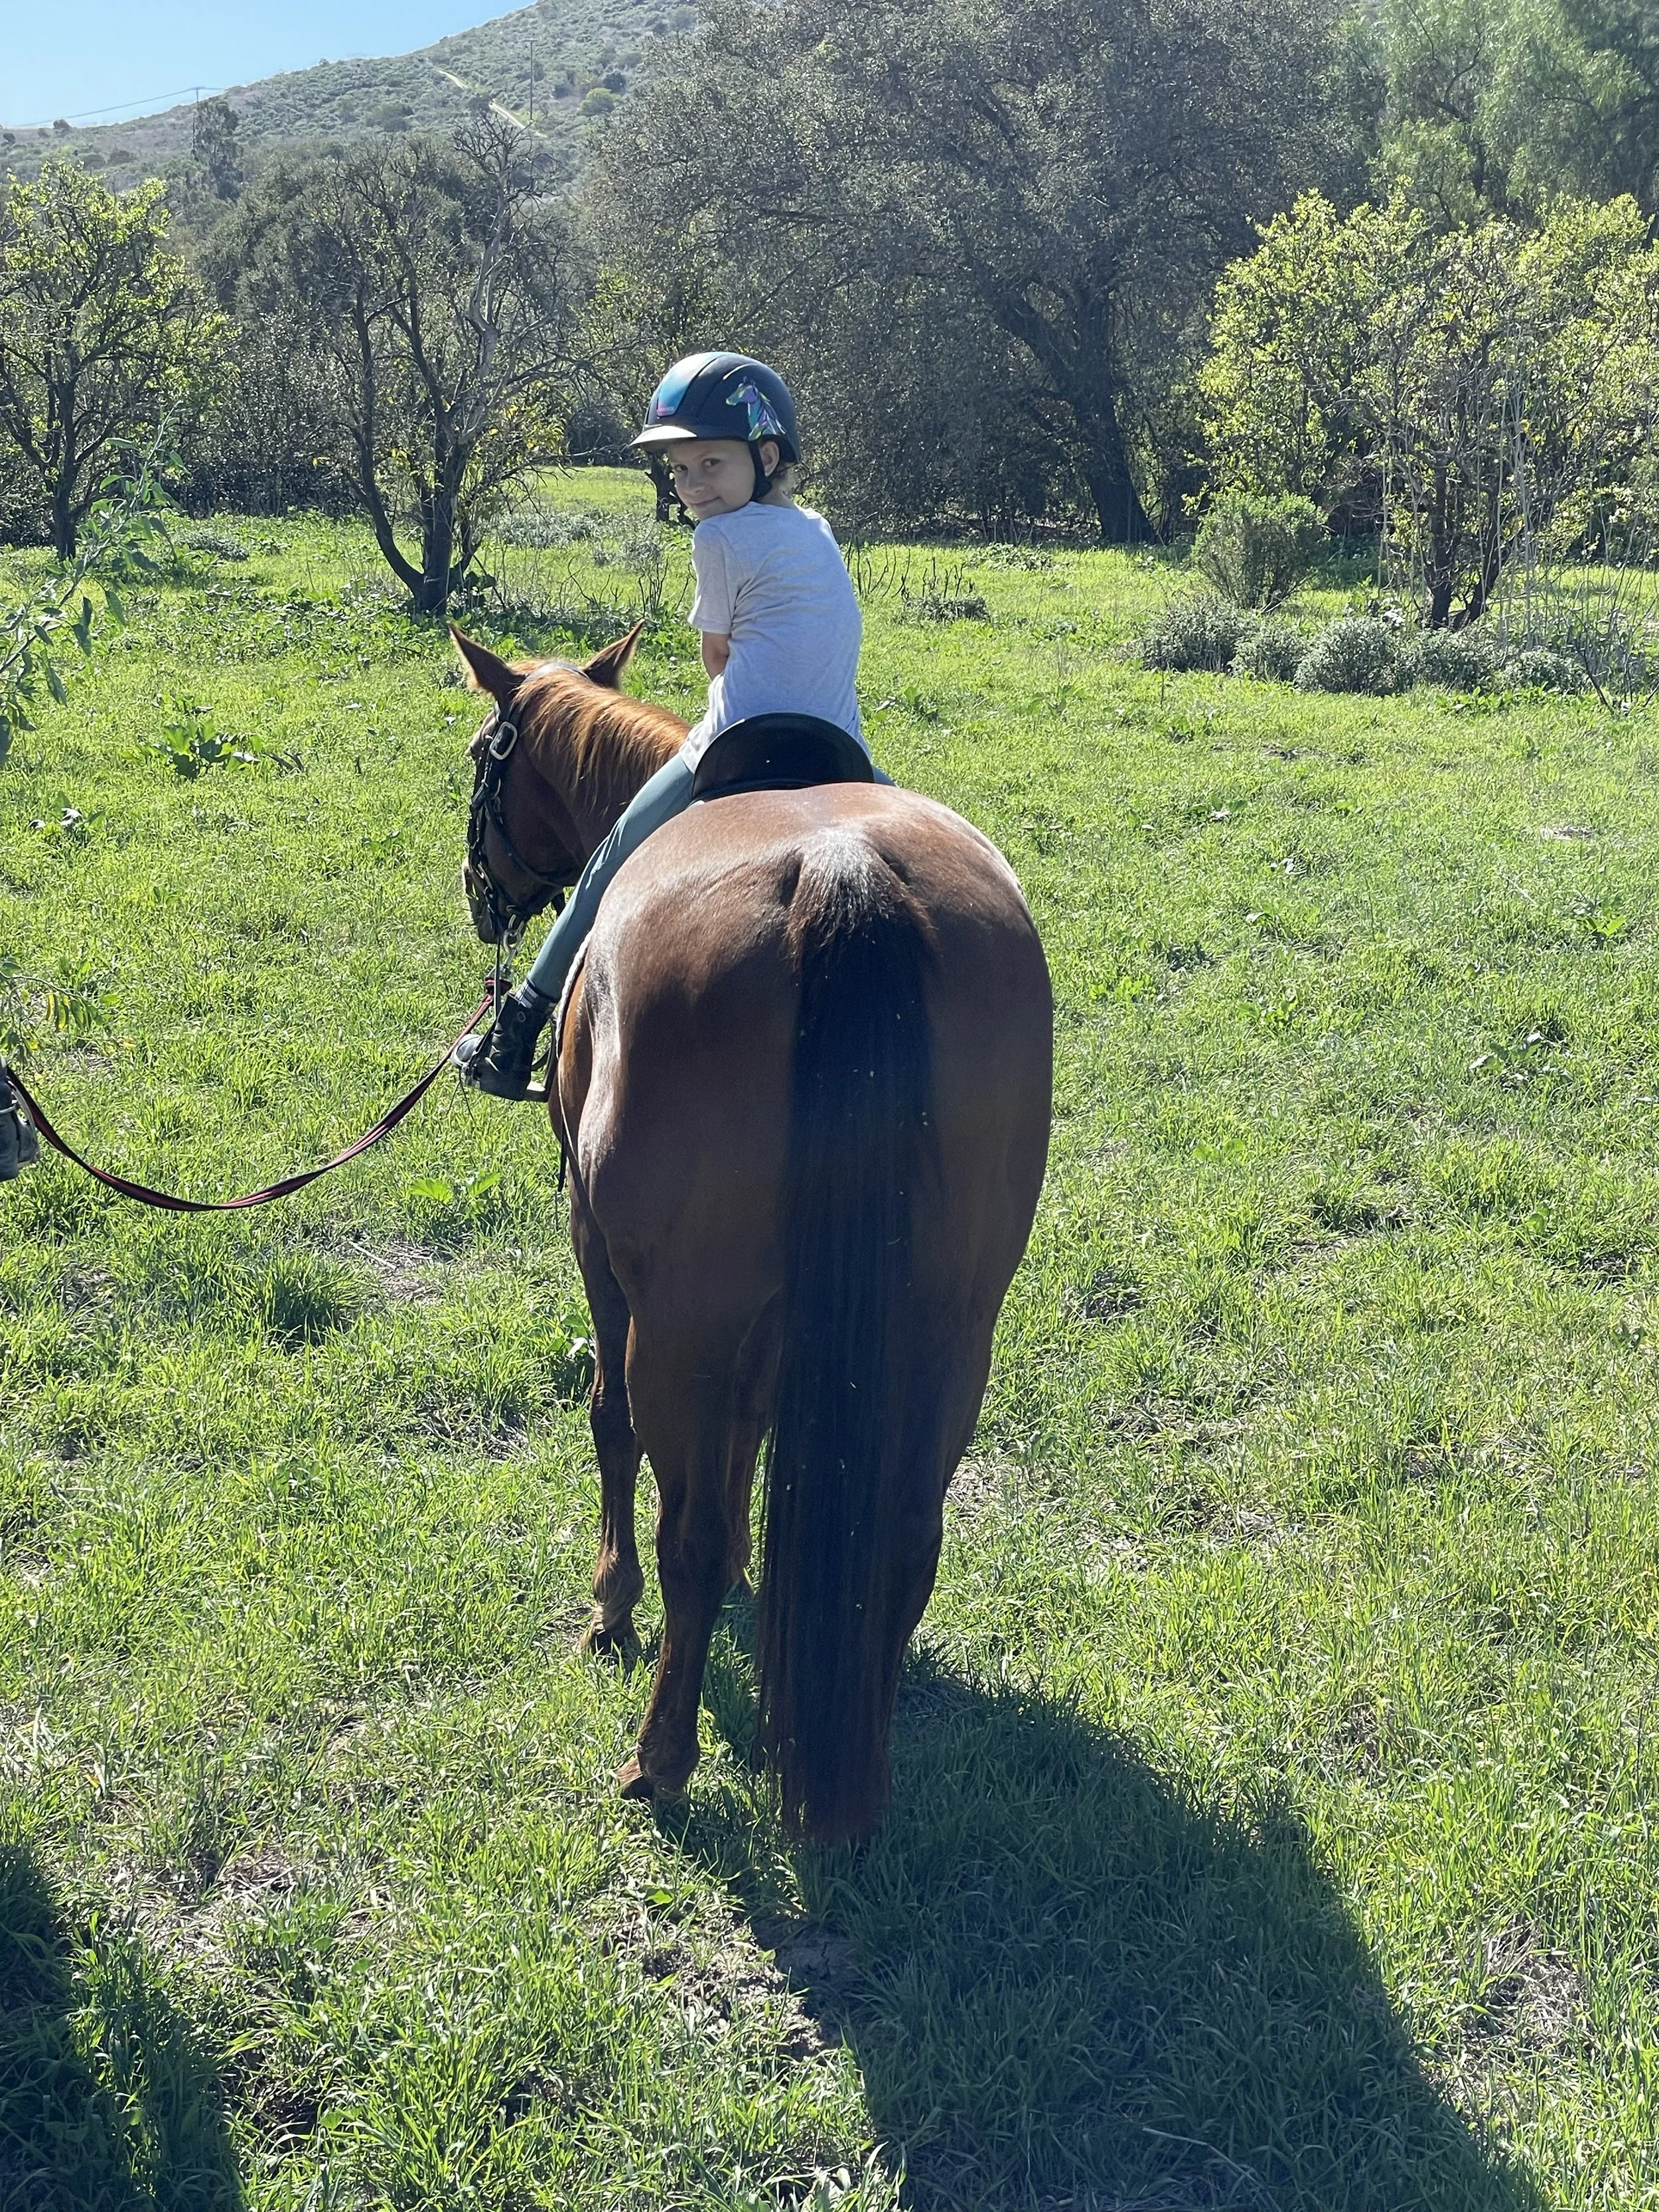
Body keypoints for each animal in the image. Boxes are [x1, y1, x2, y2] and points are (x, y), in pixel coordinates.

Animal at [453, 623, 1052, 1842]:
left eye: (485, 762)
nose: (477, 892)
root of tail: (839, 875)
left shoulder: (606, 1259)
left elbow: (613, 1423)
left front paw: (612, 1603)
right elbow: (754, 1431)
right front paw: (747, 1565)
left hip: (682, 1315)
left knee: (675, 1516)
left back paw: (658, 1758)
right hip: (952, 1324)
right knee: (907, 1536)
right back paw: (859, 1783)